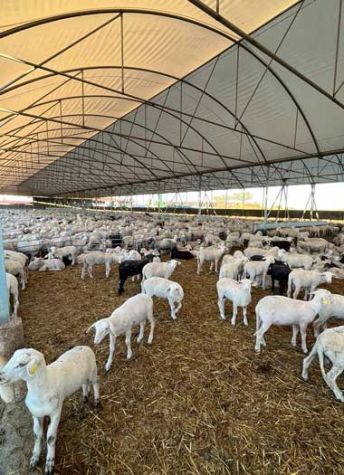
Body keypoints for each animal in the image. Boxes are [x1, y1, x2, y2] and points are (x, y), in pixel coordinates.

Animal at [0, 346, 99, 475]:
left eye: (21, 364)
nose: (0, 376)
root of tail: (84, 346)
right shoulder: (36, 414)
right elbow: (37, 435)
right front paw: (34, 458)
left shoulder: (56, 413)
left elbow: (50, 438)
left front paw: (49, 463)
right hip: (84, 376)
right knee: (85, 384)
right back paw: (85, 397)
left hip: (93, 371)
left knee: (96, 384)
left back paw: (97, 401)